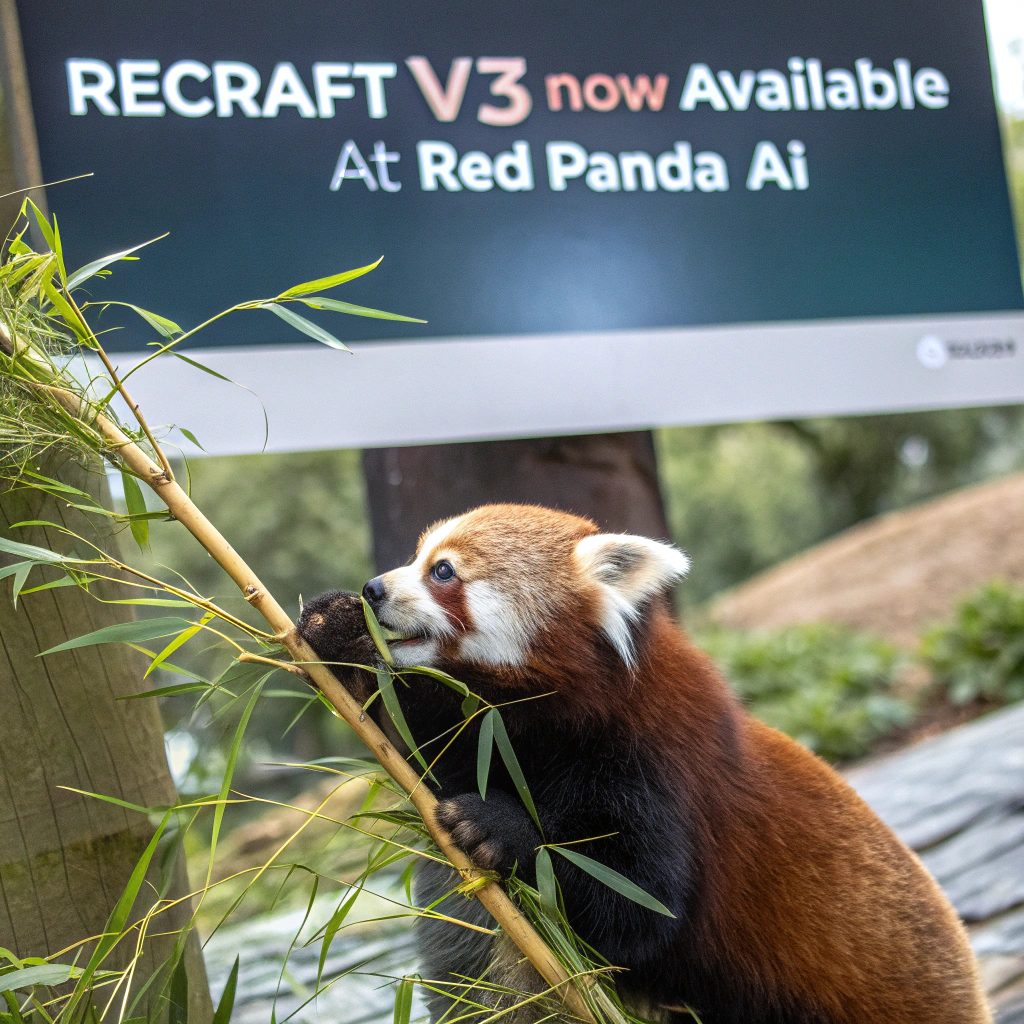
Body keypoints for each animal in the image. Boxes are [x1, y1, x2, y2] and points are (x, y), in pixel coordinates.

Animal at [296, 503, 990, 1024]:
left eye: (443, 571)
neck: (556, 720)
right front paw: (338, 631)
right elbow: (426, 741)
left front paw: (500, 829)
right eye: (417, 556)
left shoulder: (653, 767)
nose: (375, 588)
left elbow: (636, 906)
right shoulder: (494, 735)